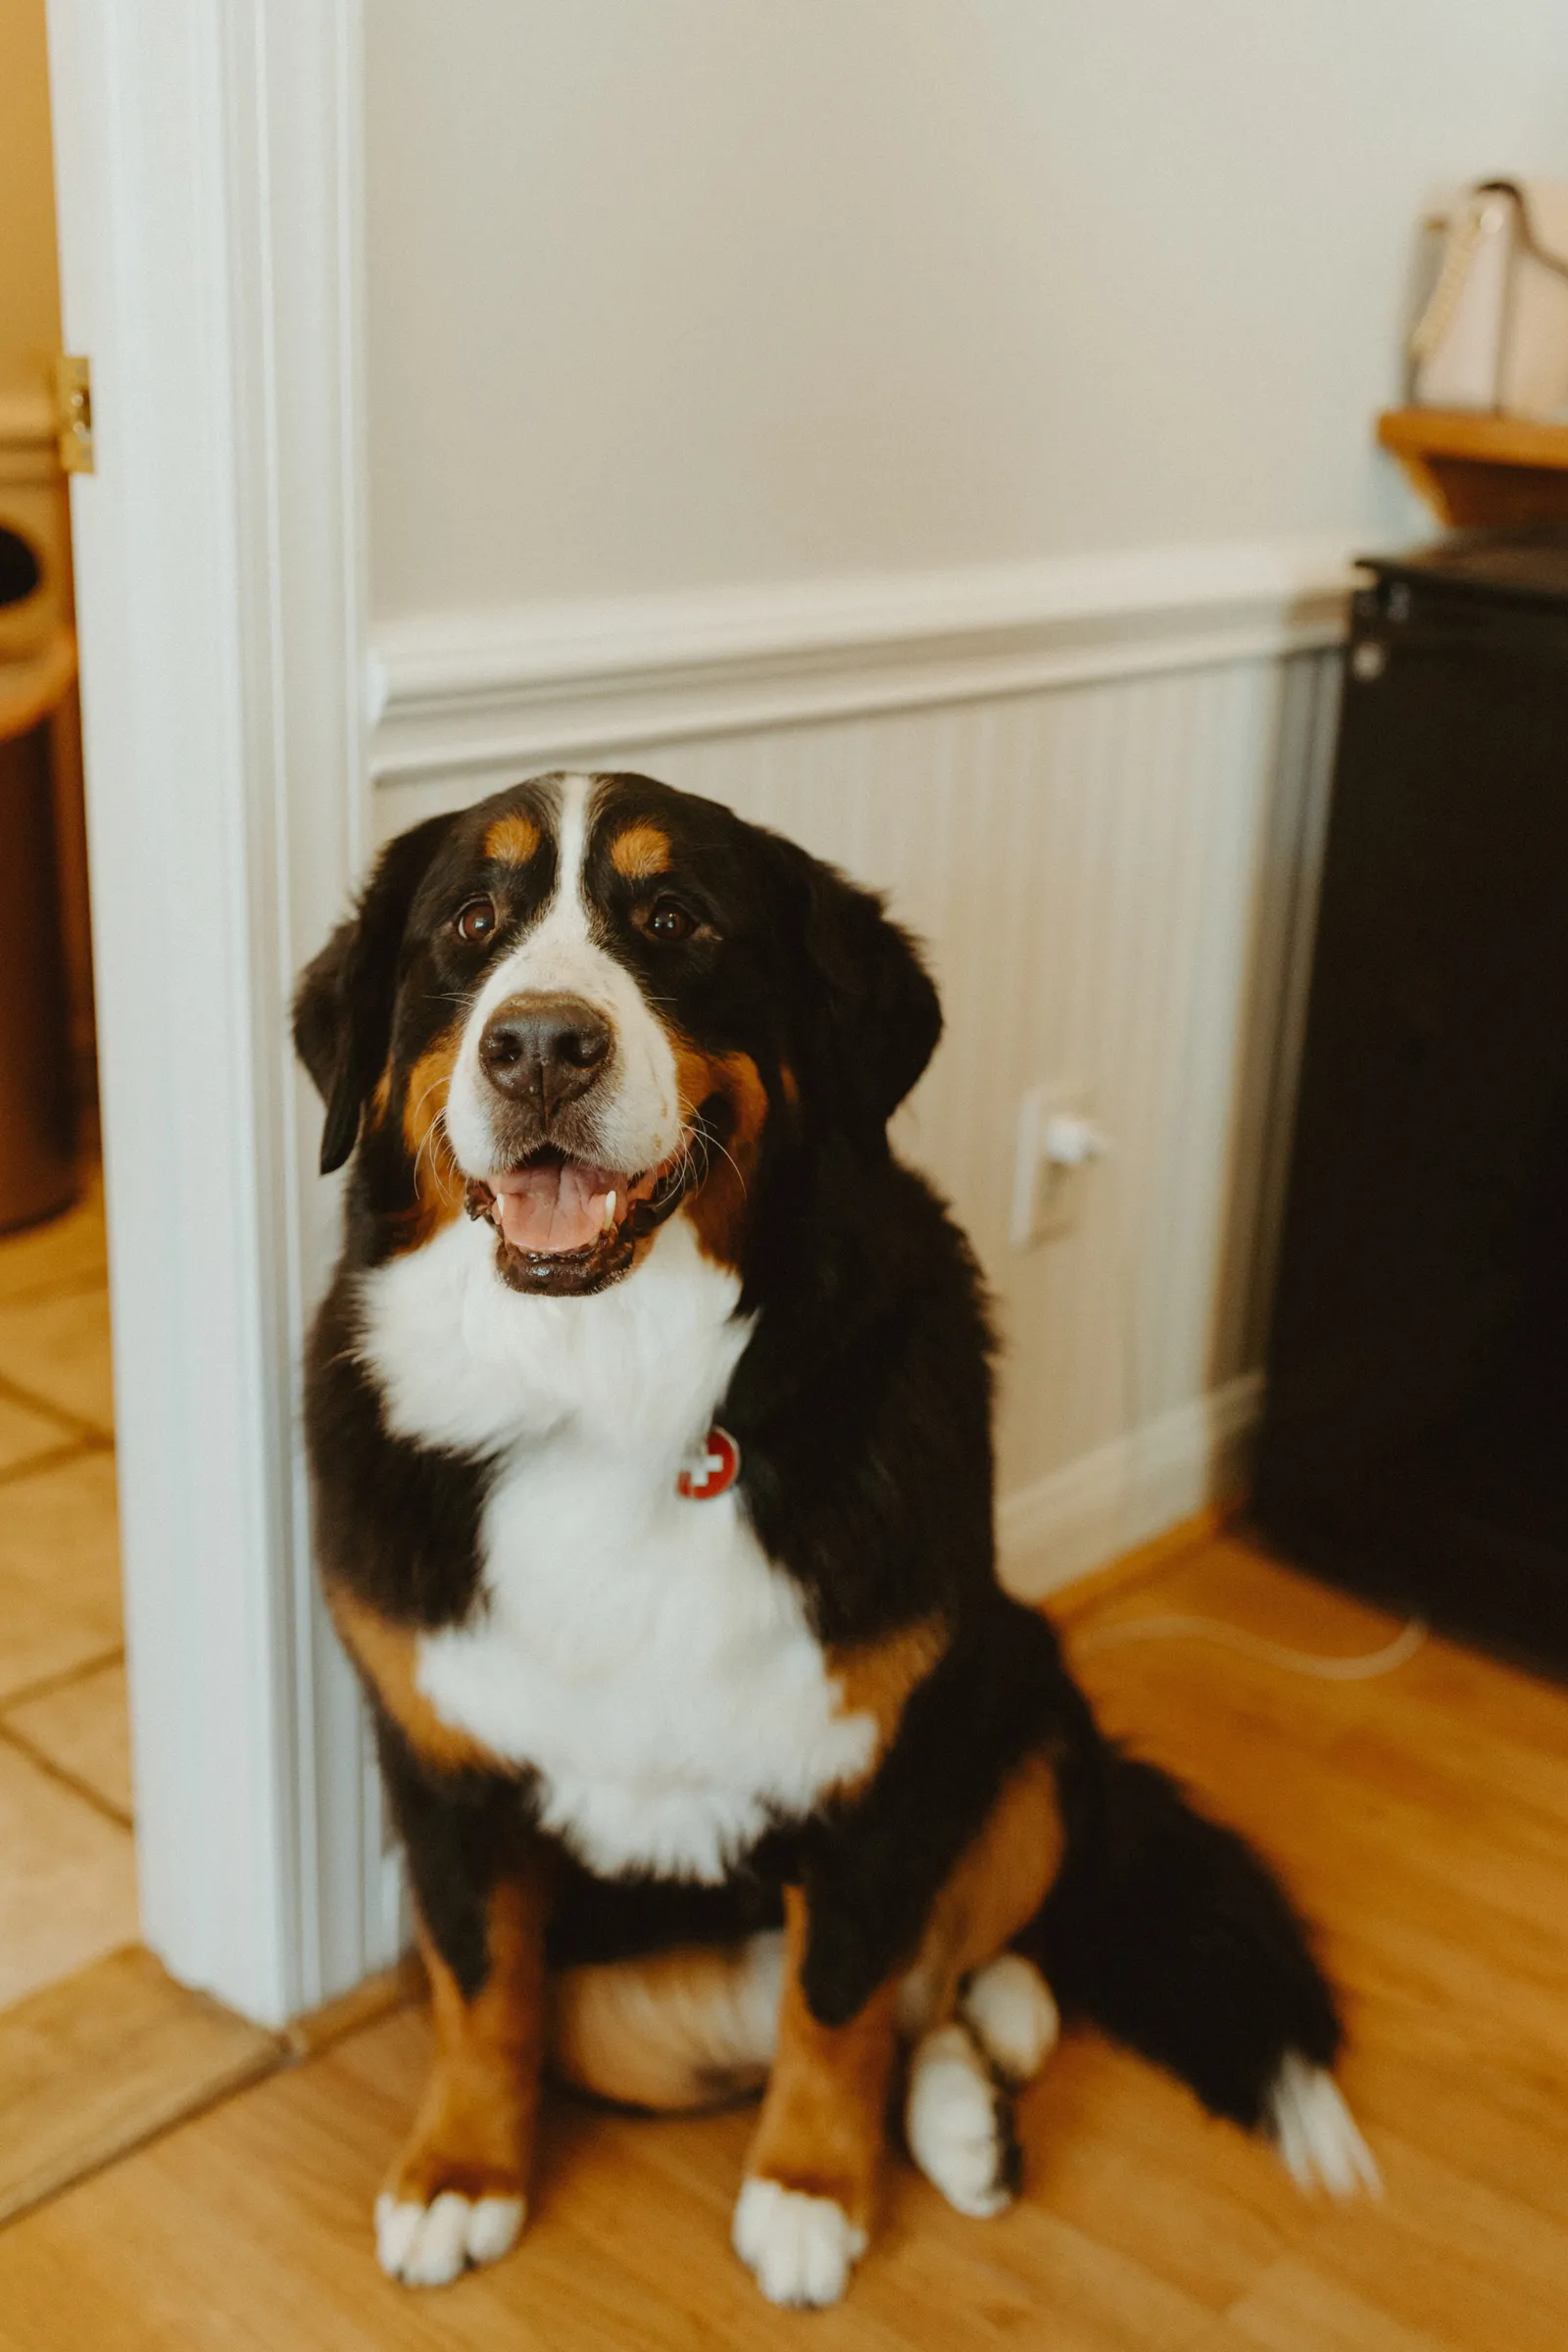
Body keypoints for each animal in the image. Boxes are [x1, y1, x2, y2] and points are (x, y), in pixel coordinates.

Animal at [293, 766, 1372, 2295]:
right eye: (470, 924)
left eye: (674, 918)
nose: (541, 1044)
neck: (609, 1397)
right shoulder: (442, 1763)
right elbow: (481, 1991)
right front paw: (458, 2171)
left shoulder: (880, 1761)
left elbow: (843, 1997)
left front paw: (809, 2188)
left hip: (1014, 1679)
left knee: (953, 1966)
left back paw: (988, 2074)